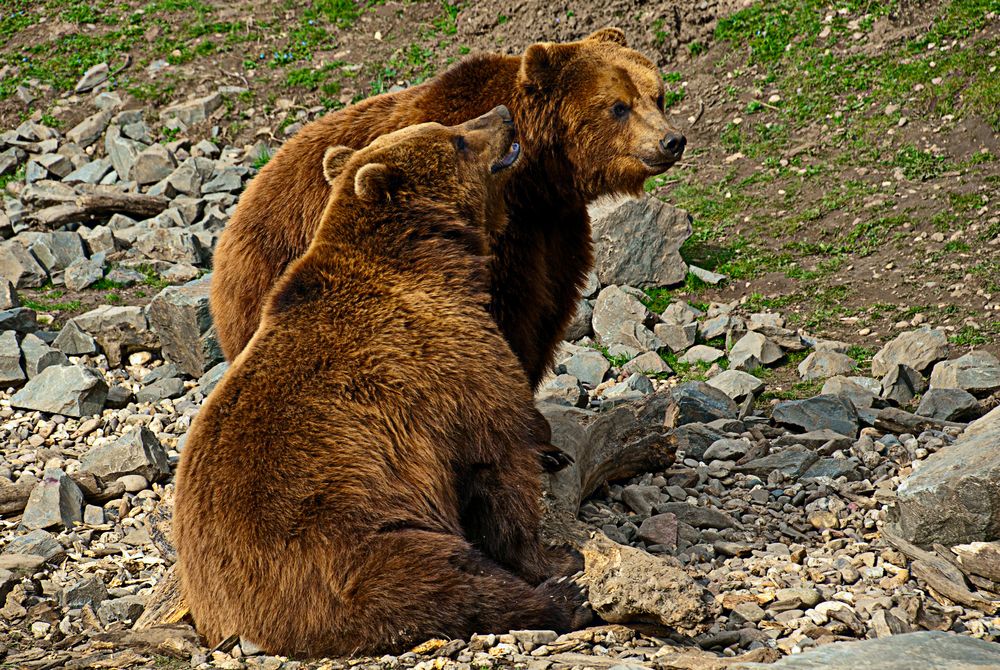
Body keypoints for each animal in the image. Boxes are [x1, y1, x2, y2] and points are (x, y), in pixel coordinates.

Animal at [176, 107, 588, 660]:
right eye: (456, 139)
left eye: (451, 126)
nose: (502, 115)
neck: (435, 263)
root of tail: (233, 626)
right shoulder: (448, 362)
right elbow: (499, 464)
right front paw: (558, 559)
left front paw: (554, 452)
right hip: (345, 547)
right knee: (435, 582)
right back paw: (561, 601)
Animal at [211, 28, 688, 392]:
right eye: (618, 107)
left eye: (658, 96)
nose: (672, 140)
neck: (537, 178)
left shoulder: (553, 228)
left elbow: (546, 308)